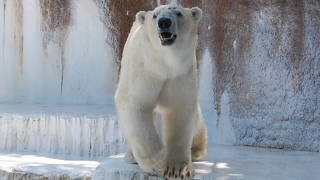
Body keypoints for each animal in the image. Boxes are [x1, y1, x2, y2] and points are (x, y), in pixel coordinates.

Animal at [115, 4, 208, 179]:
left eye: (178, 13)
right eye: (155, 15)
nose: (164, 22)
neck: (164, 63)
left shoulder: (181, 73)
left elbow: (180, 111)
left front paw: (179, 170)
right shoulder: (143, 70)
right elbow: (135, 105)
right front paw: (159, 163)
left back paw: (196, 151)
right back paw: (131, 156)